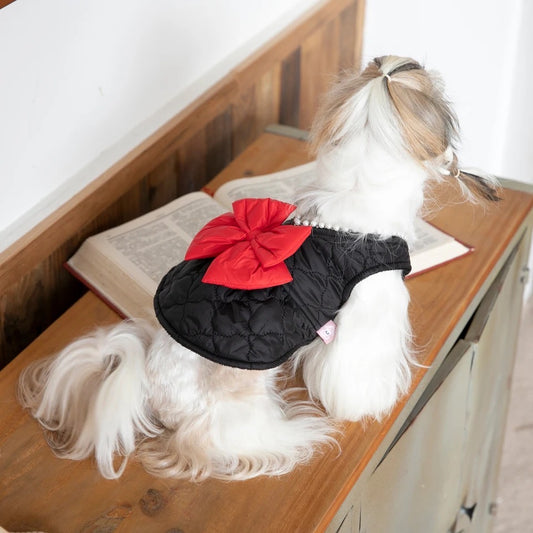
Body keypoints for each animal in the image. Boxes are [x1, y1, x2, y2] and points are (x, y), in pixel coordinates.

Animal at [17, 56, 498, 480]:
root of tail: (149, 388)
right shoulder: (370, 310)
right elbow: (357, 371)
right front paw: (368, 403)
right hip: (238, 408)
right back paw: (296, 433)